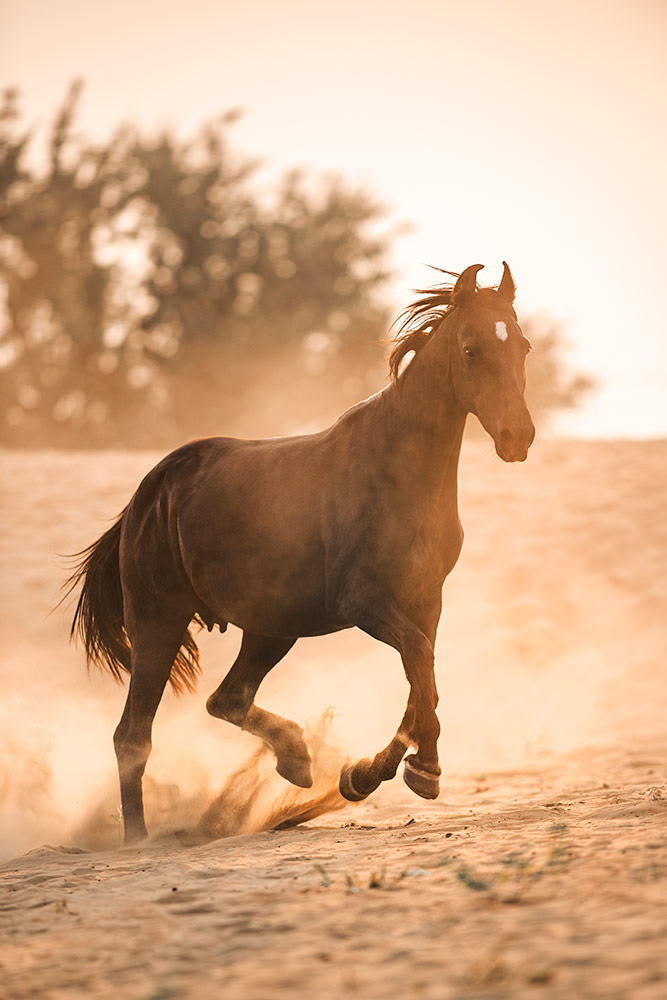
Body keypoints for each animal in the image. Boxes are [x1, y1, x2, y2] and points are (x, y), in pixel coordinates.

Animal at [67, 262, 535, 844]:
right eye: (471, 349)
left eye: (522, 346)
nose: (519, 437)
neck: (398, 470)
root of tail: (144, 497)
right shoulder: (363, 602)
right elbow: (418, 666)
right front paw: (419, 771)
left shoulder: (427, 600)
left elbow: (421, 675)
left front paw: (367, 774)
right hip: (159, 620)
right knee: (133, 734)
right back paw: (137, 841)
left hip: (271, 627)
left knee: (227, 700)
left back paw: (296, 759)